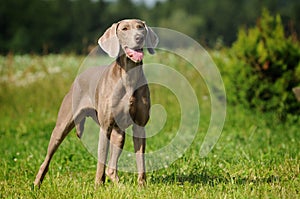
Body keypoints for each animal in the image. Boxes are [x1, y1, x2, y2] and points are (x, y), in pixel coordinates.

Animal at [33, 18, 159, 187]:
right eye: (125, 29)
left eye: (140, 27)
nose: (139, 37)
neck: (129, 76)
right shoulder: (105, 127)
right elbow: (101, 160)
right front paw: (98, 185)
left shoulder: (139, 126)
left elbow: (141, 159)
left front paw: (142, 186)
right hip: (61, 127)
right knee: (47, 159)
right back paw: (37, 183)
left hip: (119, 134)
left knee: (111, 168)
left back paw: (120, 185)